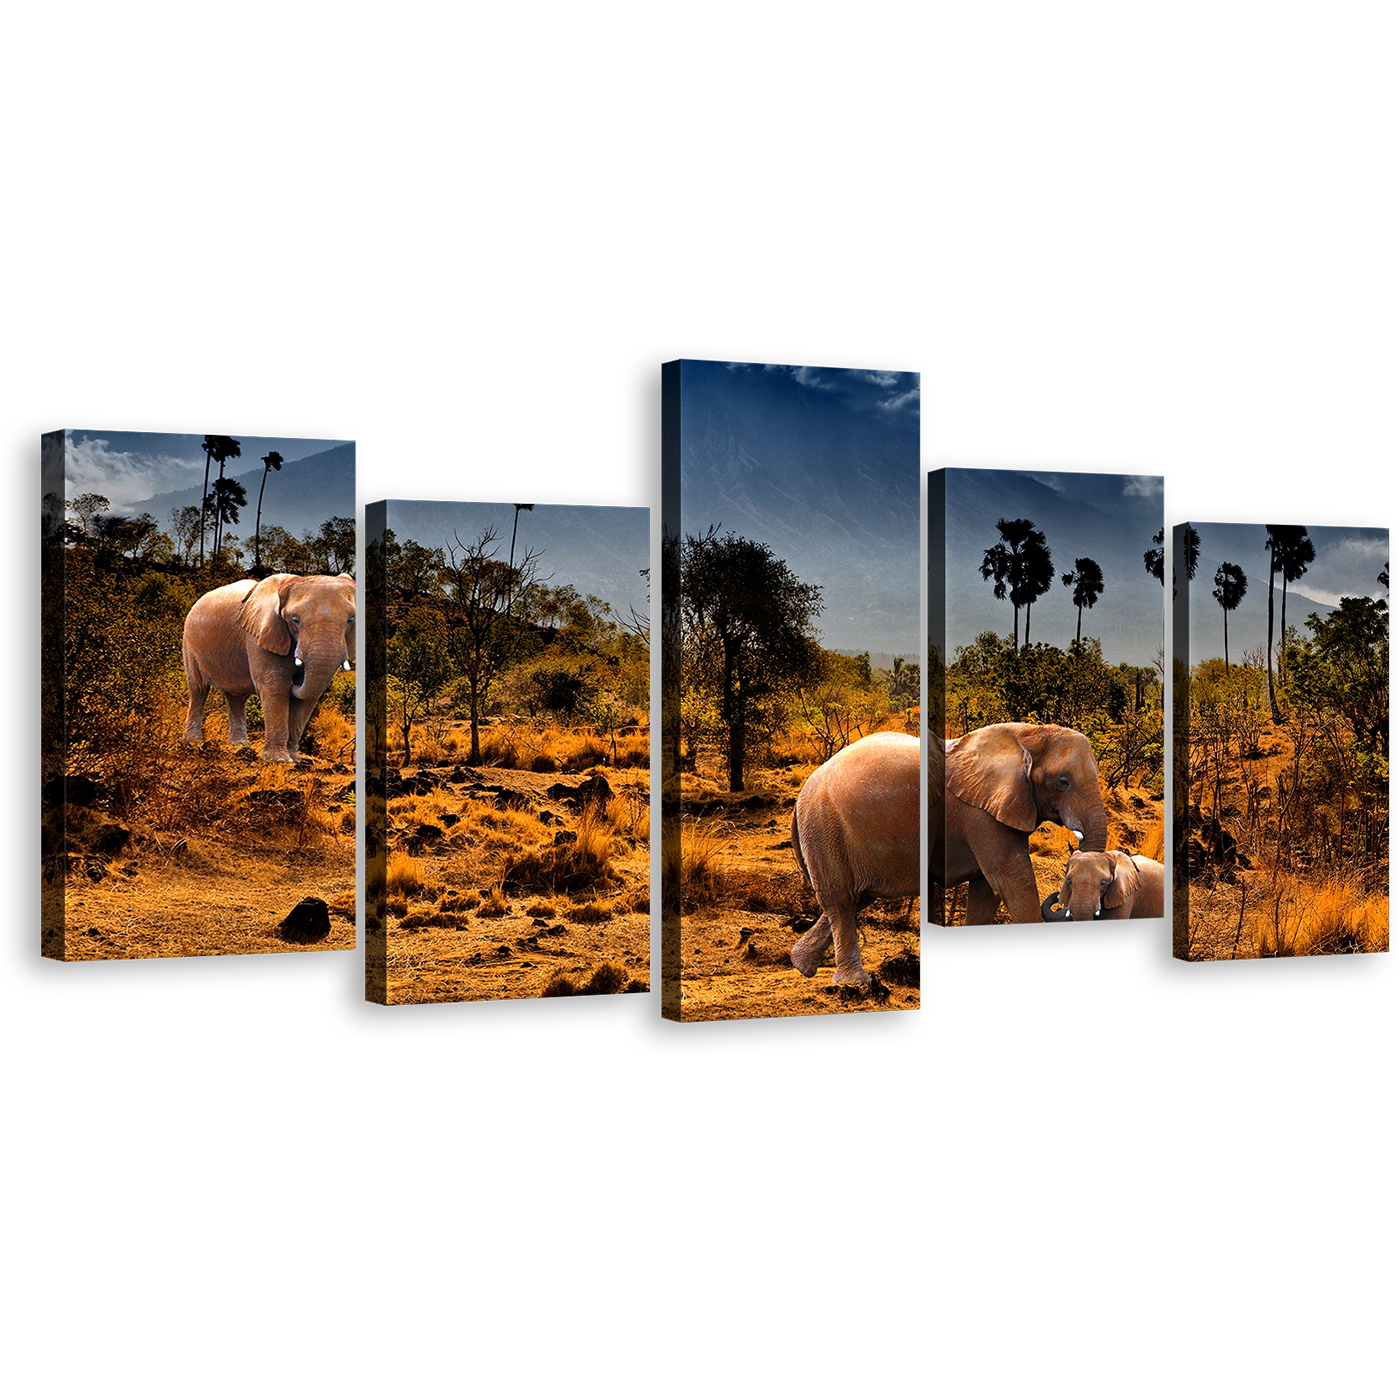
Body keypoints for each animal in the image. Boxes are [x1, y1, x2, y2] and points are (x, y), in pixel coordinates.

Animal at [183, 571, 355, 767]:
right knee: (198, 689)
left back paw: (240, 746)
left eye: (351, 620)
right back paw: (193, 741)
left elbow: (307, 697)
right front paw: (279, 759)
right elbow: (276, 686)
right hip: (189, 641)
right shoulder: (259, 634)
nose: (297, 681)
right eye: (295, 620)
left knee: (236, 697)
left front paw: (295, 759)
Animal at [789, 733, 918, 985]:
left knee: (858, 898)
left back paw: (801, 964)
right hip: (825, 828)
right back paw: (855, 981)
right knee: (842, 899)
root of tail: (799, 799)